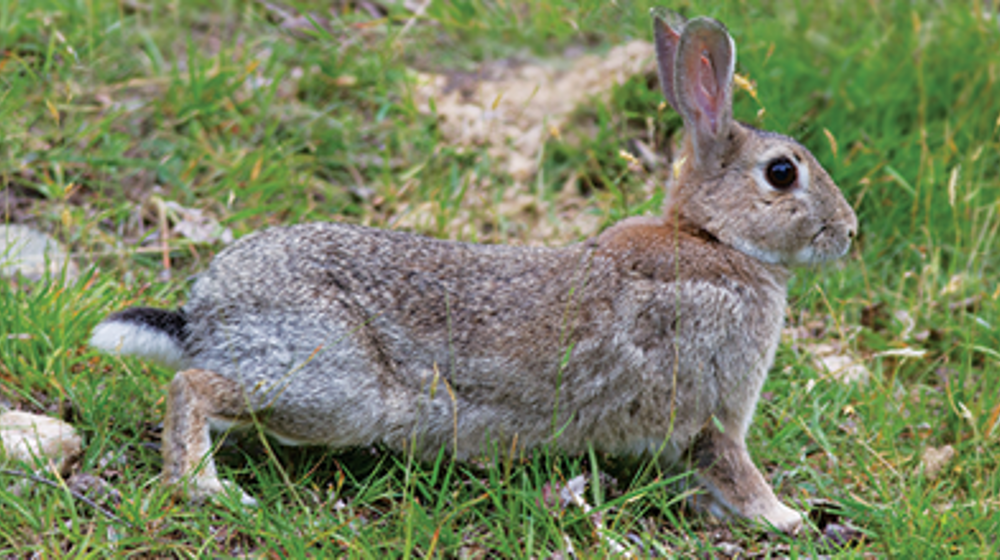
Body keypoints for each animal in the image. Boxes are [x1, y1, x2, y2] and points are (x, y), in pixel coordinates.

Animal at [90, 9, 856, 534]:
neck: (715, 240)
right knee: (191, 387)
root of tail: (204, 315)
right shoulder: (715, 408)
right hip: (334, 388)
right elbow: (736, 469)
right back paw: (205, 486)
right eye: (782, 173)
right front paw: (789, 518)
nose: (849, 232)